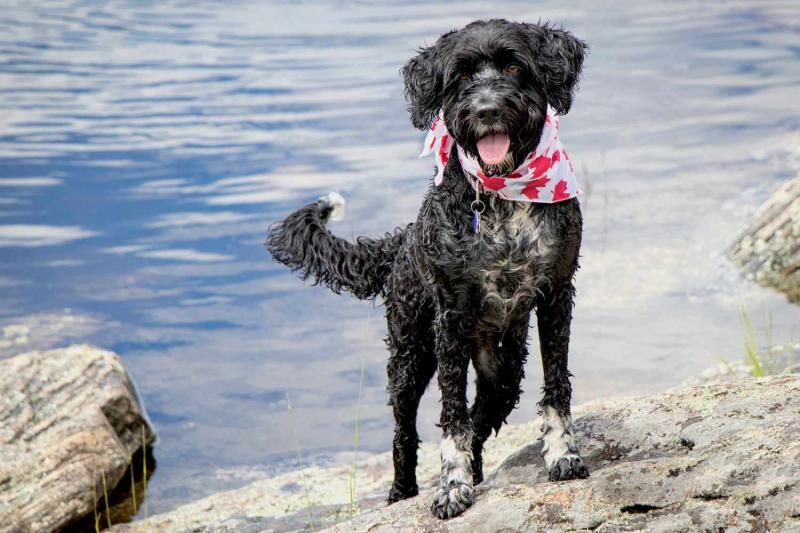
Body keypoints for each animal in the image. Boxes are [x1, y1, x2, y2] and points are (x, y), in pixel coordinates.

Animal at [268, 18, 588, 516]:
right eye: (461, 75)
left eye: (515, 66)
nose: (487, 110)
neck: (501, 196)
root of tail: (402, 239)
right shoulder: (450, 319)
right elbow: (452, 416)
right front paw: (451, 486)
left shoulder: (556, 295)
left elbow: (555, 388)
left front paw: (561, 455)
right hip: (409, 358)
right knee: (404, 435)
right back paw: (402, 492)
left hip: (504, 371)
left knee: (482, 419)